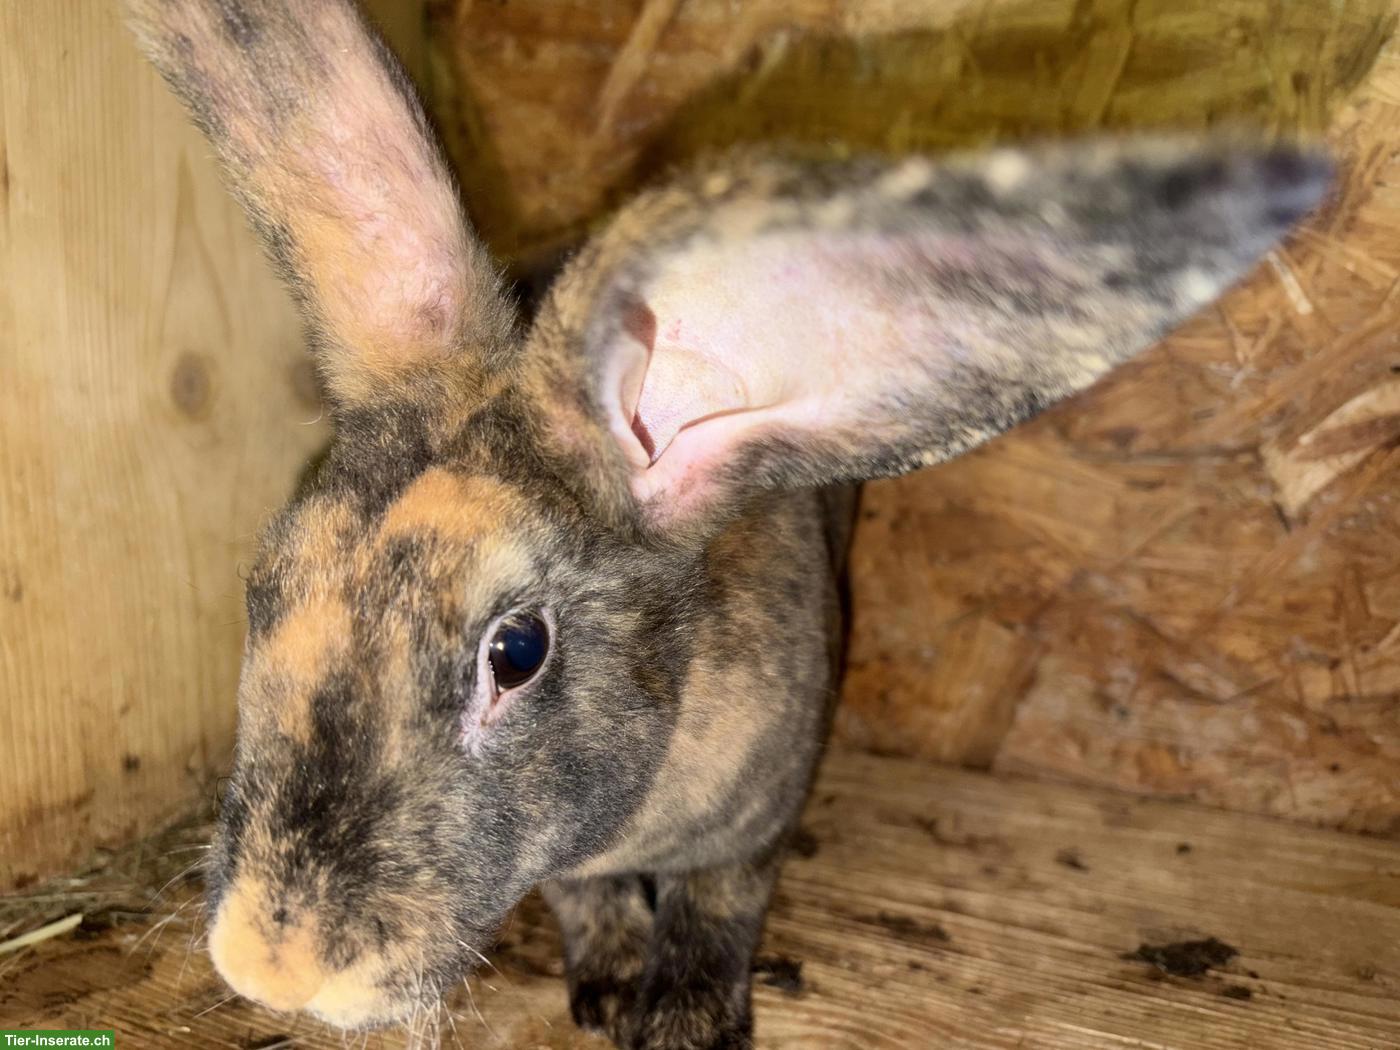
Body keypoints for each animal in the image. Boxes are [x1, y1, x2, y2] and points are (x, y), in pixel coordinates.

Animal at [124, 0, 1330, 1047]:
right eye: (267, 583)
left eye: (515, 652)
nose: (271, 965)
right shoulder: (580, 868)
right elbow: (589, 900)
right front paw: (610, 990)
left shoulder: (761, 814)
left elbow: (718, 901)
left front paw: (685, 1018)